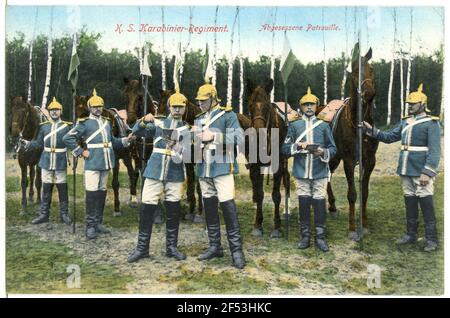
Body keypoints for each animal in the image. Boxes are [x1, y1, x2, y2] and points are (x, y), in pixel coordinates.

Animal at [246, 79, 292, 238]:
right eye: (250, 105)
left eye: (266, 106)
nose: (257, 132)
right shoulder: (255, 166)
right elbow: (260, 194)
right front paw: (257, 224)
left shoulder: (278, 165)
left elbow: (276, 195)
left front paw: (277, 227)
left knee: (287, 181)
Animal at [326, 42, 378, 241]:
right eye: (356, 71)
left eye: (372, 69)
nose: (369, 94)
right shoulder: (348, 161)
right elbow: (352, 194)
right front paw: (352, 229)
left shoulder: (370, 161)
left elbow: (365, 193)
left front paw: (365, 225)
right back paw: (331, 206)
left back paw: (333, 206)